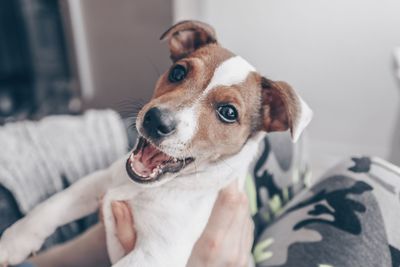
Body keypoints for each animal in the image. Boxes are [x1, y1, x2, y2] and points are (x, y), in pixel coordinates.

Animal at [0, 21, 312, 267]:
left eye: (228, 112)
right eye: (178, 72)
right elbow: (50, 206)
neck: (152, 188)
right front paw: (11, 244)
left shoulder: (157, 254)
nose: (155, 120)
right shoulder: (102, 180)